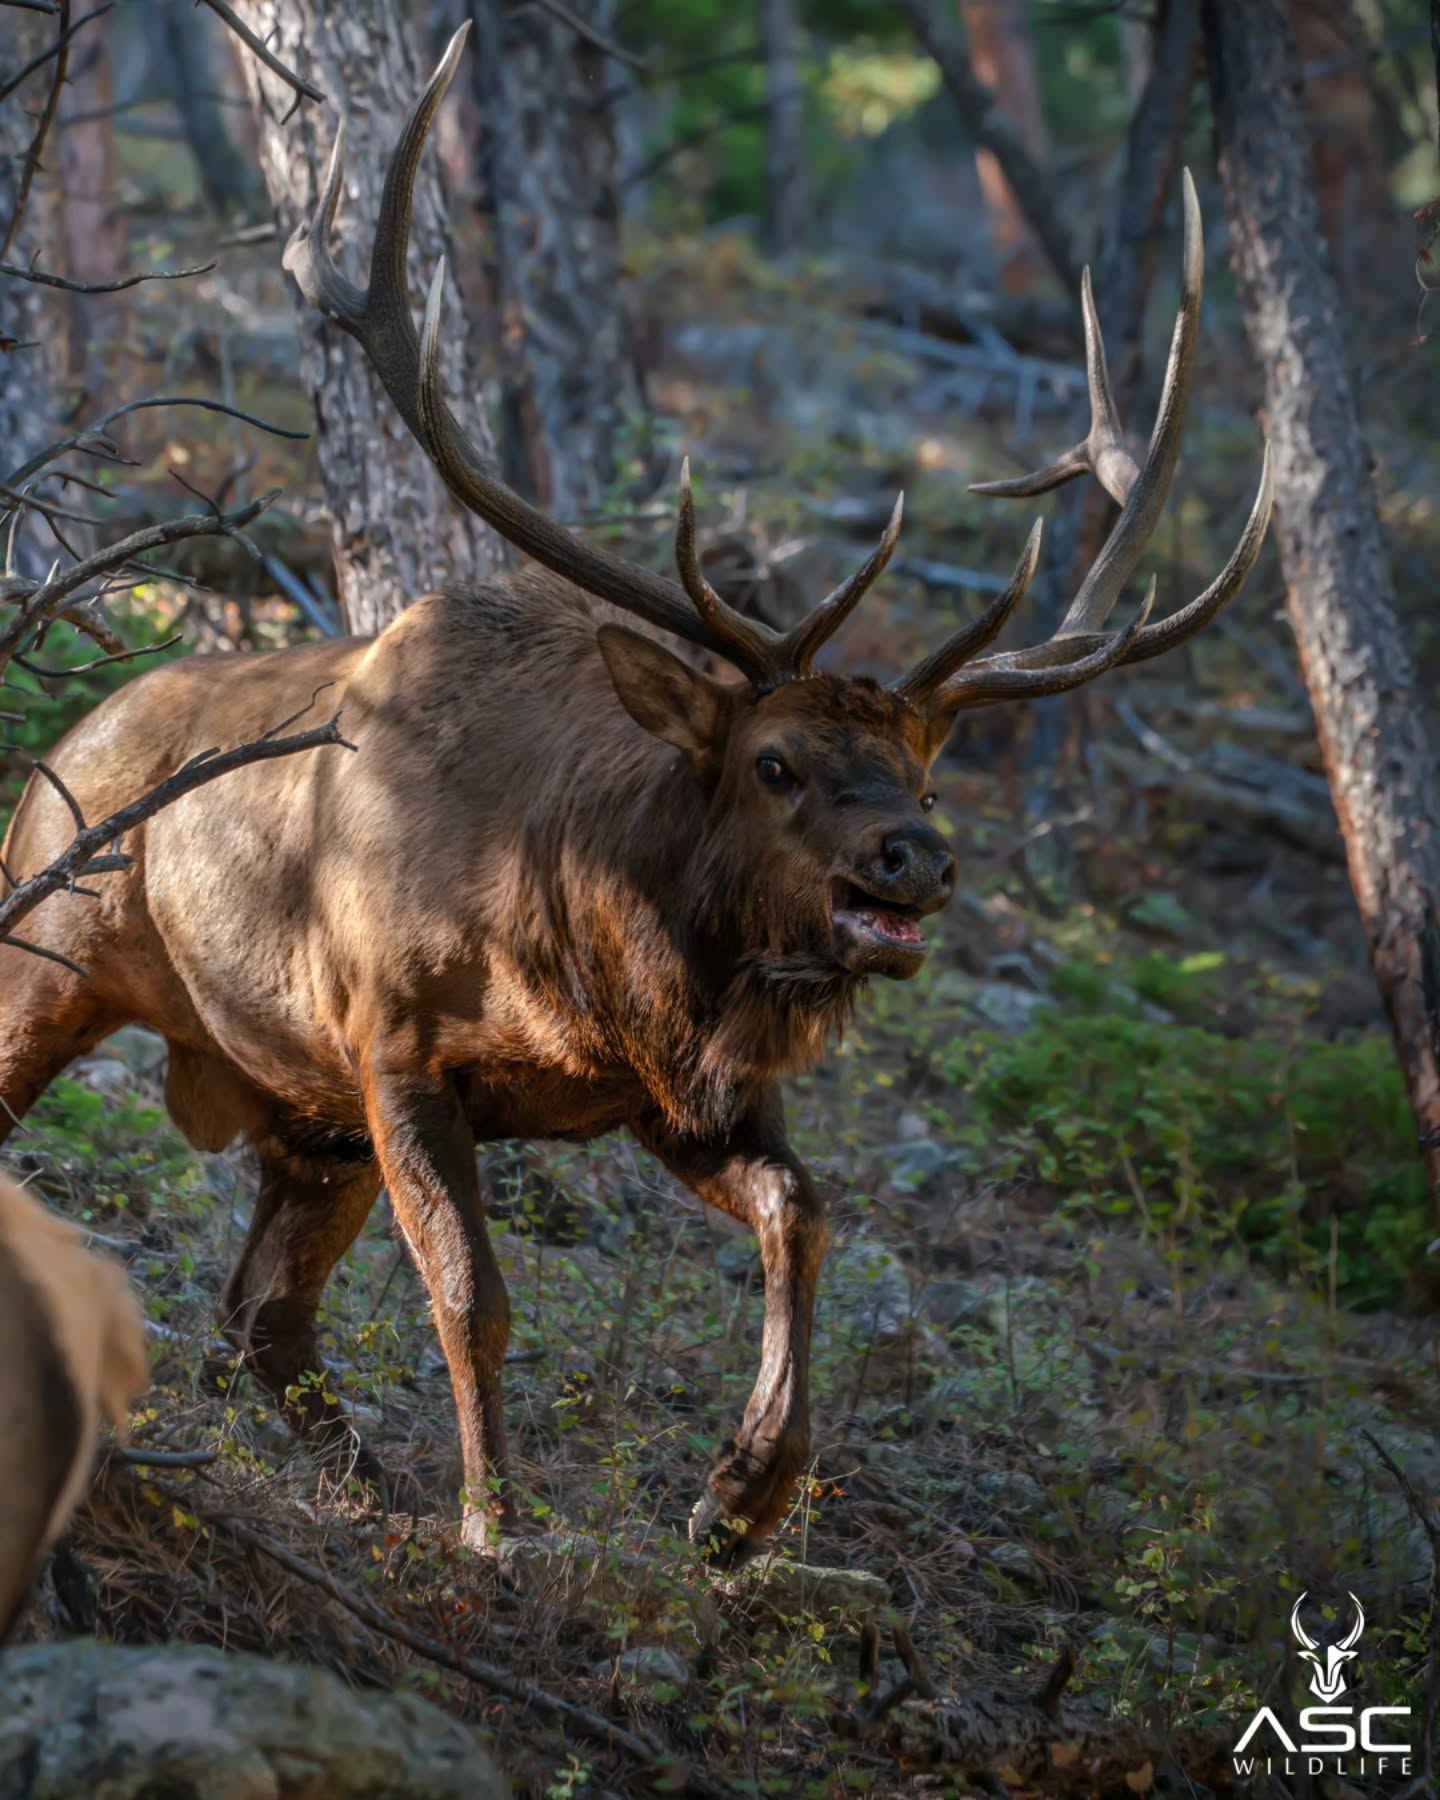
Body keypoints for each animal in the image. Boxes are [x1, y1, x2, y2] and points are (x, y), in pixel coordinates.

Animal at [0, 26, 1272, 1562]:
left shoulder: (667, 1092)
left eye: (919, 768)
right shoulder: (394, 1042)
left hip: (300, 1113)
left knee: (259, 1314)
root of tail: (73, 734)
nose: (917, 858)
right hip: (56, 967)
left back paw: (368, 1489)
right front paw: (496, 1526)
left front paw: (739, 1496)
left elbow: (804, 1209)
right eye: (775, 763)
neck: (578, 935)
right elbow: (473, 1297)